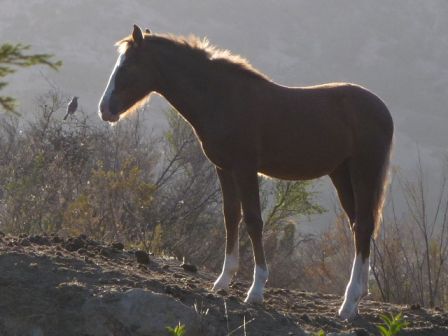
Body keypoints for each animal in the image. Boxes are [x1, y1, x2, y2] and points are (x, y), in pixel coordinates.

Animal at [100, 25, 394, 318]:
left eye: (127, 67)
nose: (105, 110)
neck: (222, 98)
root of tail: (381, 109)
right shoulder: (224, 169)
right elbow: (231, 216)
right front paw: (223, 280)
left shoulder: (245, 168)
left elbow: (253, 221)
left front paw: (256, 291)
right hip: (341, 174)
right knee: (359, 226)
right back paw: (357, 296)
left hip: (363, 172)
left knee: (363, 225)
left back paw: (348, 304)